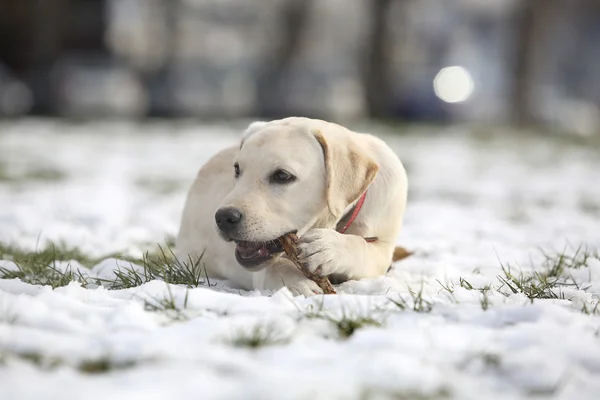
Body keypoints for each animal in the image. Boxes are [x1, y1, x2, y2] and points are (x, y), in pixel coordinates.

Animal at [173, 117, 408, 296]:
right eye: (237, 170)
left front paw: (328, 248)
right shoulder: (263, 268)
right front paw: (299, 283)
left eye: (282, 176)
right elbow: (275, 267)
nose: (223, 218)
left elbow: (362, 246)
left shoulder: (383, 248)